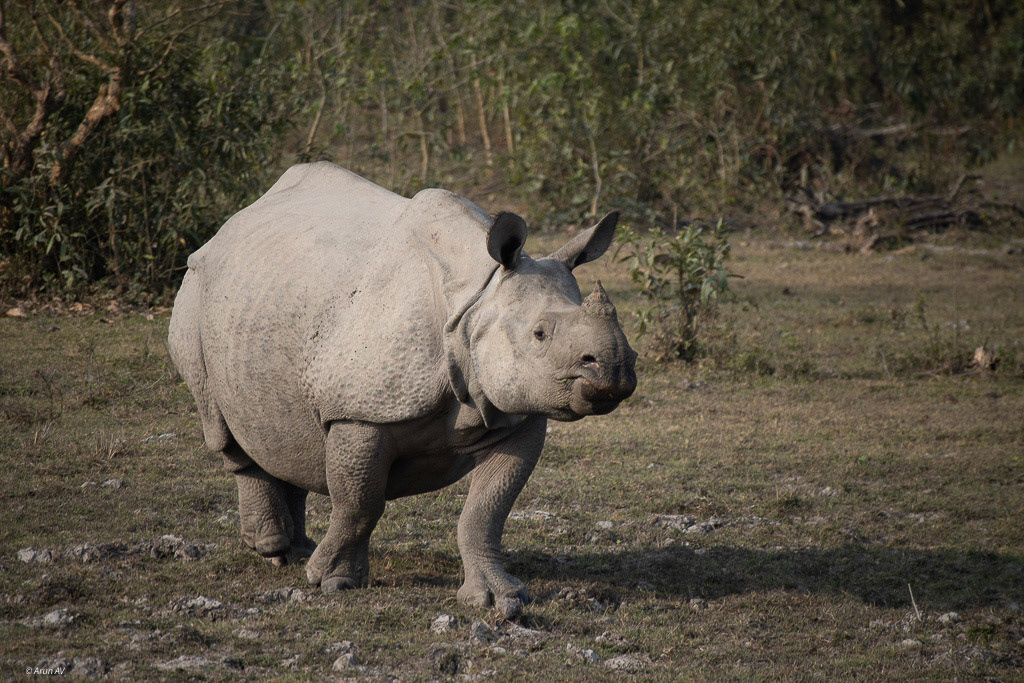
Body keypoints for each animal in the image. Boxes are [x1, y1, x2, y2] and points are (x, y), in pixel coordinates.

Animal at [167, 161, 637, 616]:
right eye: (539, 334)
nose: (615, 369)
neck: (475, 302)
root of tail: (235, 220)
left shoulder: (517, 412)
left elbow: (487, 511)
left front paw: (497, 598)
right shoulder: (359, 412)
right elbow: (360, 503)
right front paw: (332, 582)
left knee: (288, 432)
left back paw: (296, 551)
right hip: (194, 291)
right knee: (223, 426)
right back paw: (275, 549)